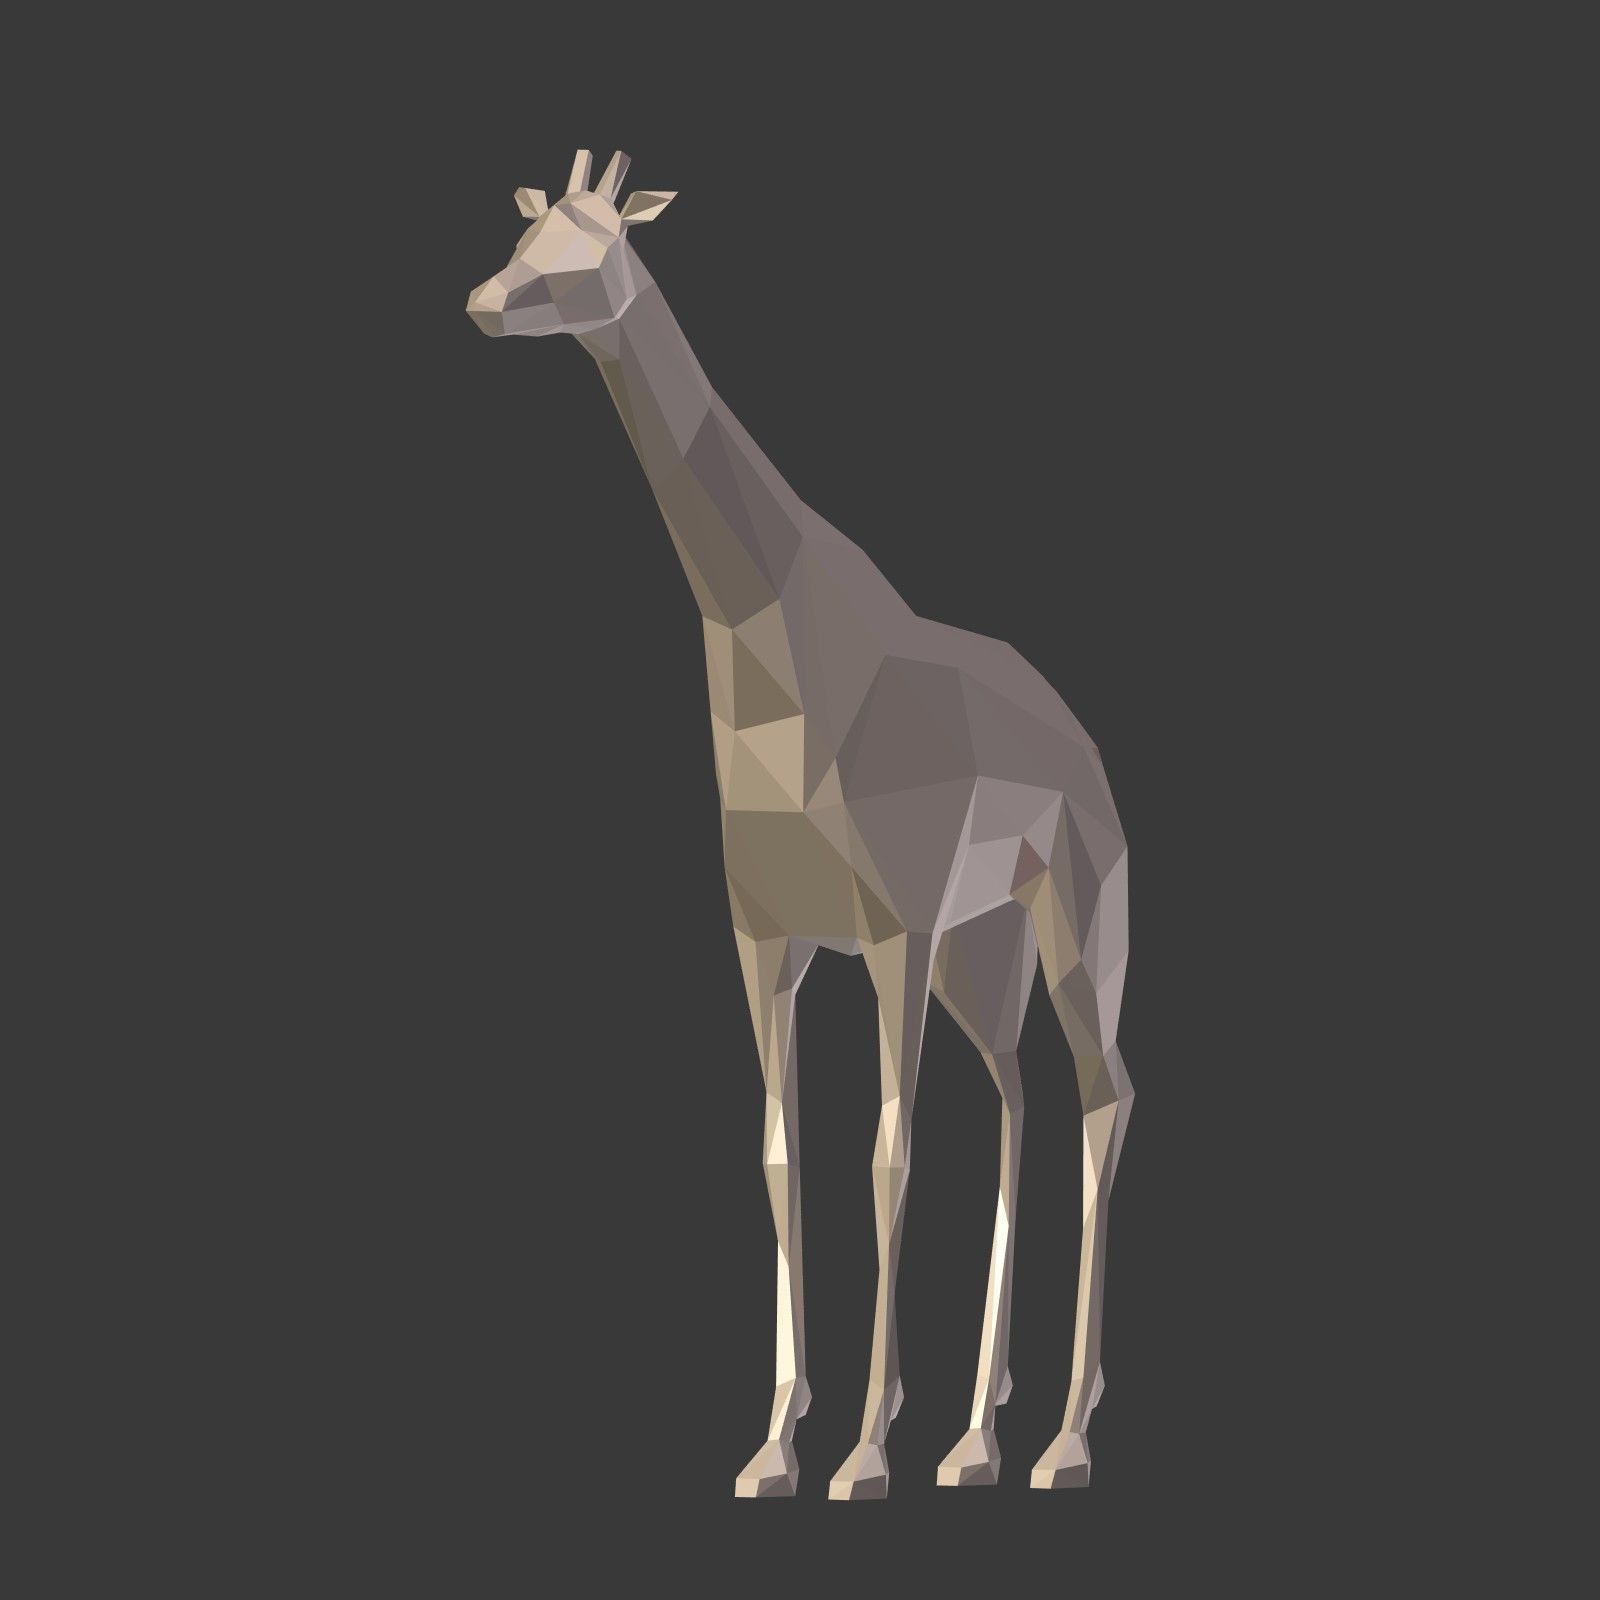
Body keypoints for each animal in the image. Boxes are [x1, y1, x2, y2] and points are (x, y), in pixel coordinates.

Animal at [467, 151, 1134, 1499]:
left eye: (596, 243)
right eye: (526, 235)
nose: (483, 303)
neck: (762, 643)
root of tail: (1087, 756)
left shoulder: (890, 933)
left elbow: (886, 1153)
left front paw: (864, 1449)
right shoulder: (764, 937)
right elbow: (779, 1154)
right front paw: (776, 1441)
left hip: (1070, 929)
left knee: (1105, 1097)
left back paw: (1063, 1439)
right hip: (985, 953)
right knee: (1017, 1101)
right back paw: (979, 1432)